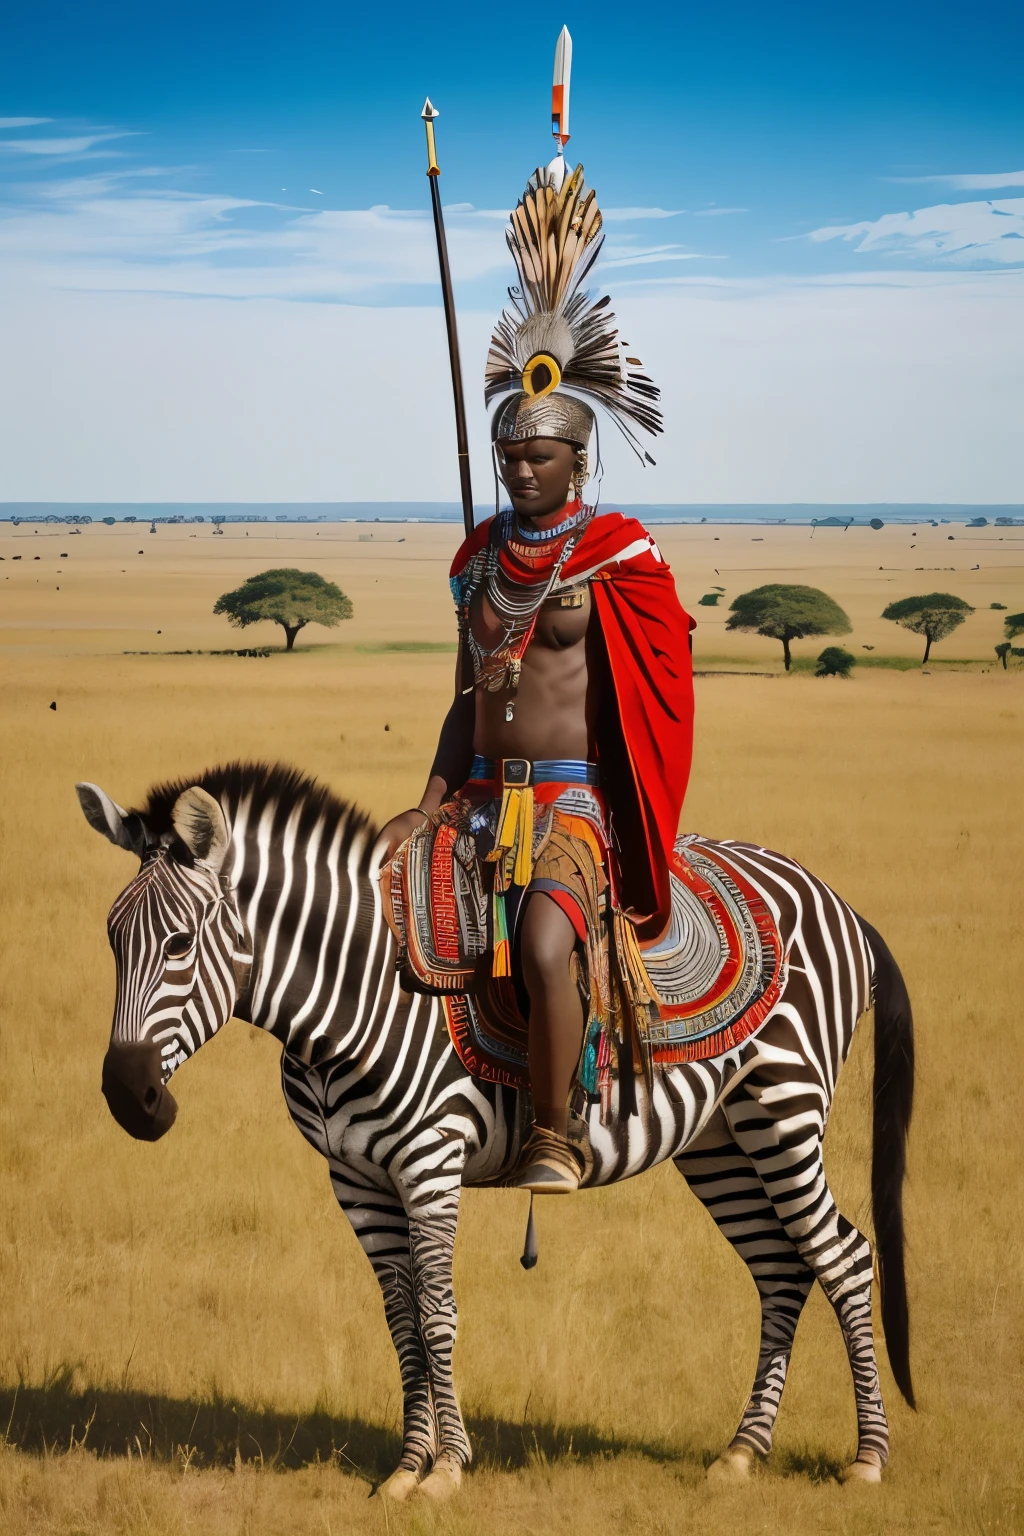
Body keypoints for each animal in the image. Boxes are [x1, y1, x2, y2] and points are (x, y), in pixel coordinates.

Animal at [76, 760, 914, 1502]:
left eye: (179, 944)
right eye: (112, 940)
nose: (128, 1099)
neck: (358, 987)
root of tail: (841, 904)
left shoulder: (429, 1161)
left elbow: (438, 1315)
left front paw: (446, 1470)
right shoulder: (356, 1179)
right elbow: (401, 1319)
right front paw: (407, 1466)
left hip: (785, 1102)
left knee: (843, 1256)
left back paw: (869, 1457)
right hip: (722, 1137)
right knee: (781, 1268)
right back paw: (743, 1452)